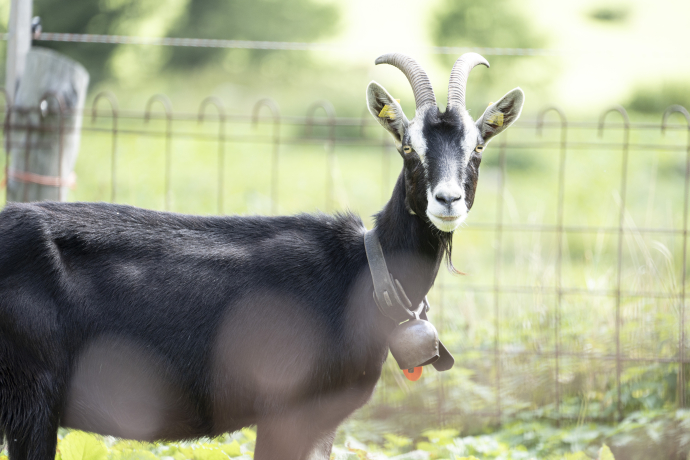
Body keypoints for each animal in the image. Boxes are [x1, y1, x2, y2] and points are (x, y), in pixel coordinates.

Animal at [0, 53, 523, 460]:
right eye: (408, 146)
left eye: (478, 146)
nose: (447, 200)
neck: (362, 274)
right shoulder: (285, 411)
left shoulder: (321, 422)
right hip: (32, 397)